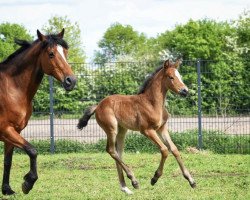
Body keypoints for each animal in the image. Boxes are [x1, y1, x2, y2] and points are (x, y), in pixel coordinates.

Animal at [78, 59, 195, 194]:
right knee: (111, 150)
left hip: (122, 130)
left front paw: (191, 180)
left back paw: (125, 187)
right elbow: (164, 150)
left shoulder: (162, 128)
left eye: (180, 76)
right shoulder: (147, 130)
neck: (152, 103)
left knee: (118, 152)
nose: (185, 91)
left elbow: (174, 149)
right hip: (112, 129)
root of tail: (98, 106)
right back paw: (134, 180)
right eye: (171, 77)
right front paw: (154, 178)